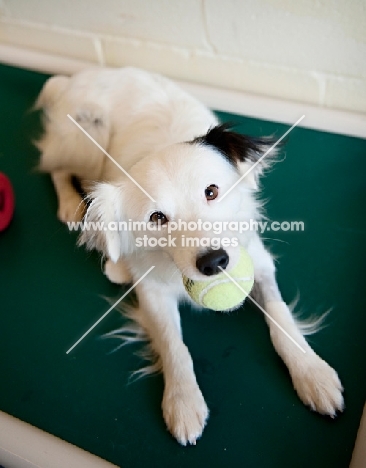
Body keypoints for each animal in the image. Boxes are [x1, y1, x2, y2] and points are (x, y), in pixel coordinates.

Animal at [34, 65, 344, 442]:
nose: (215, 262)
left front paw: (311, 371)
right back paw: (71, 206)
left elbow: (280, 316)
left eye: (211, 191)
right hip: (87, 137)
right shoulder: (153, 291)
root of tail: (78, 76)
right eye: (157, 218)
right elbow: (174, 345)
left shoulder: (257, 262)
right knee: (55, 165)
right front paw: (182, 399)